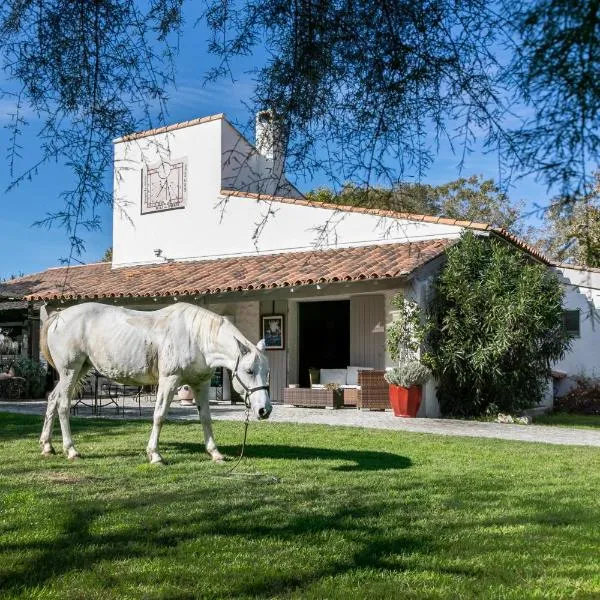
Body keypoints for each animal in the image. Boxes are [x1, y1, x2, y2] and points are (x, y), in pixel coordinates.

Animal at [38, 304, 270, 464]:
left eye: (267, 371)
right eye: (249, 371)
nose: (264, 410)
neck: (196, 336)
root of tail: (58, 317)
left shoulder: (200, 384)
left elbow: (206, 418)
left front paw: (215, 453)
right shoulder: (169, 381)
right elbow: (159, 415)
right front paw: (155, 455)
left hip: (78, 370)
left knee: (52, 400)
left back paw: (47, 446)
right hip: (69, 372)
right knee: (63, 406)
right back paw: (71, 450)